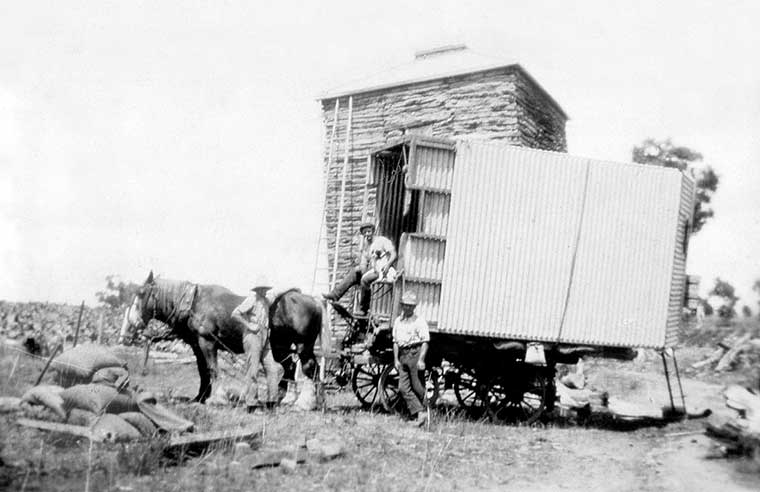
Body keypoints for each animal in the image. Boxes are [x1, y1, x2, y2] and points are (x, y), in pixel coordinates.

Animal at [120, 272, 326, 404]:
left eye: (141, 293)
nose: (129, 328)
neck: (195, 303)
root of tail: (315, 301)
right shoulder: (197, 345)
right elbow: (203, 371)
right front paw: (200, 397)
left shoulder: (207, 342)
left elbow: (213, 369)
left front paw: (217, 398)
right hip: (281, 346)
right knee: (291, 367)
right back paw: (286, 398)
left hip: (303, 345)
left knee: (309, 367)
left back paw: (305, 402)